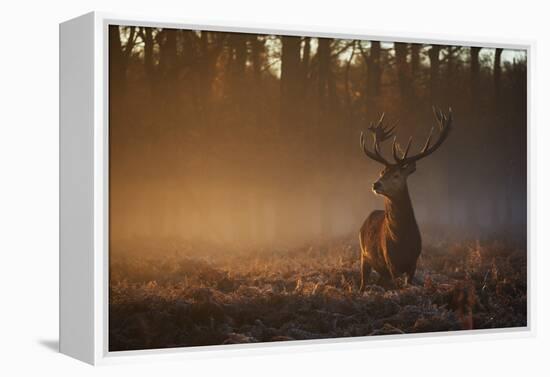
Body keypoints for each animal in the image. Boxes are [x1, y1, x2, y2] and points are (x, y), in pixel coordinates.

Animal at [360, 107, 454, 290]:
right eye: (381, 172)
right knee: (363, 283)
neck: (401, 241)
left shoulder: (413, 263)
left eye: (396, 175)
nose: (376, 184)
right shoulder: (390, 263)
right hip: (363, 256)